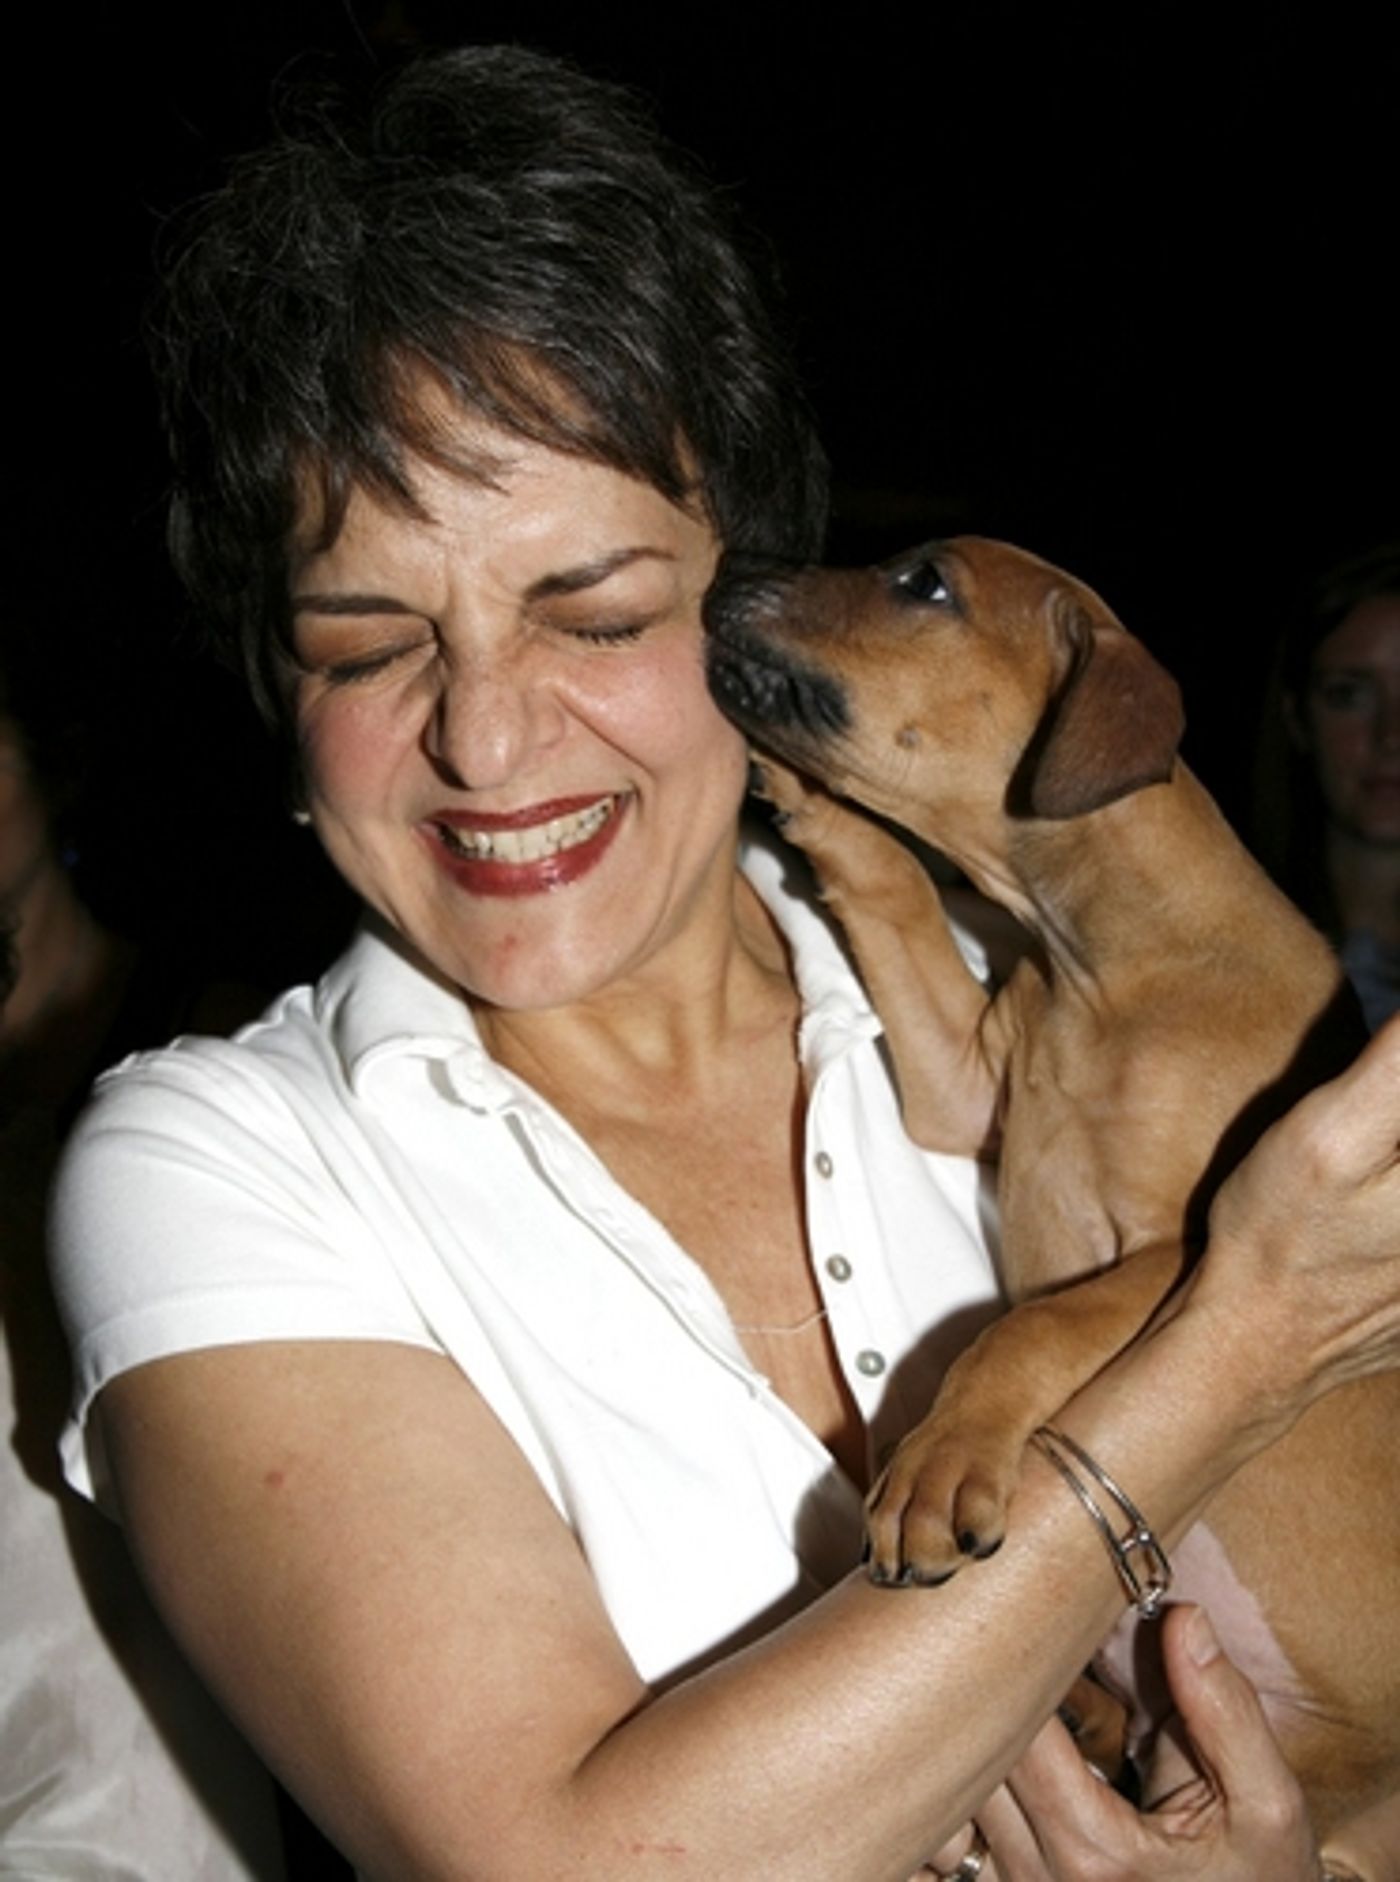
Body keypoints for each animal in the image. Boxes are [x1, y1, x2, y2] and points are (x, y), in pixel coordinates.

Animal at [704, 535, 1400, 1838]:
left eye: (922, 584)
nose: (728, 569)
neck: (1107, 965)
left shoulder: (1194, 1245)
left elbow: (1029, 1326)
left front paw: (939, 1458)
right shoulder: (962, 1083)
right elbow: (892, 887)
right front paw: (811, 801)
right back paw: (1079, 1710)